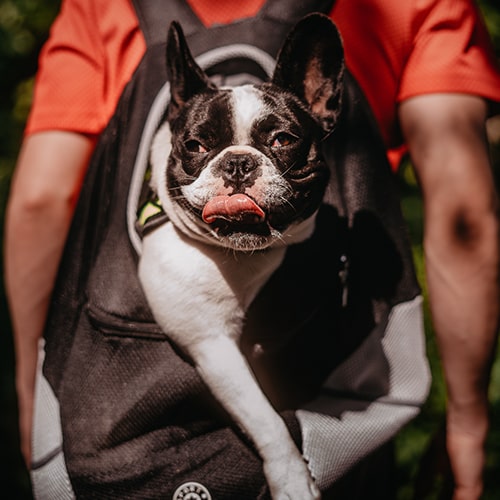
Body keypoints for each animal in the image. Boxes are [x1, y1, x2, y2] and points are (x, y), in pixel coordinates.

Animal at [139, 15, 346, 500]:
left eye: (283, 139)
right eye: (195, 146)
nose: (237, 163)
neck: (242, 256)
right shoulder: (212, 344)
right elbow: (266, 419)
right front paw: (292, 479)